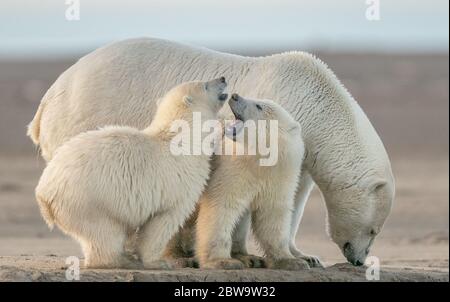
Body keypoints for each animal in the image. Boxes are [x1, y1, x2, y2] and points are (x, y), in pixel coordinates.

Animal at [27, 37, 394, 266]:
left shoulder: (302, 147)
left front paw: (305, 255)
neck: (315, 98)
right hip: (84, 118)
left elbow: (294, 196)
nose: (359, 260)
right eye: (374, 230)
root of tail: (46, 100)